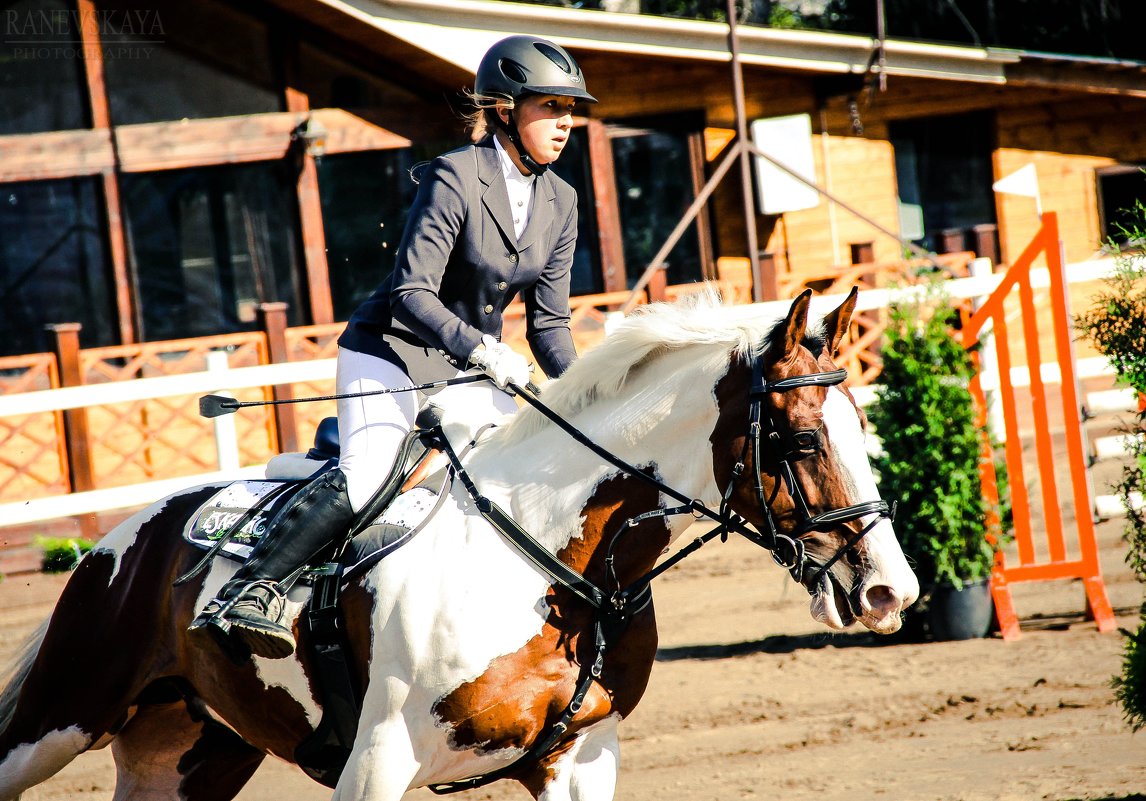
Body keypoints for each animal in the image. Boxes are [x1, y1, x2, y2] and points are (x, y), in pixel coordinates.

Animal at [0, 291, 912, 801]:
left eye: (860, 423)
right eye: (801, 440)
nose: (890, 592)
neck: (553, 569)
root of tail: (117, 541)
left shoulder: (579, 758)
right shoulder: (378, 759)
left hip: (191, 751)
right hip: (57, 721)